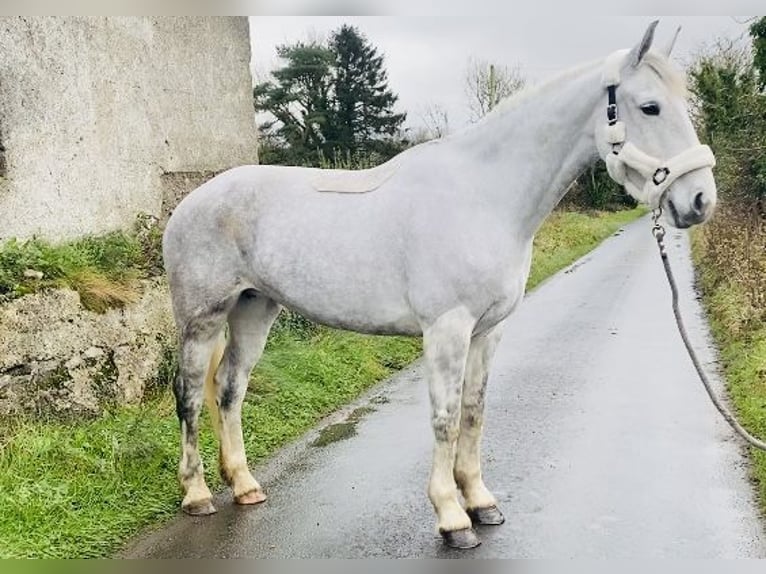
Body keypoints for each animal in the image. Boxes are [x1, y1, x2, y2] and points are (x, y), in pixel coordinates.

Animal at [164, 22, 720, 552]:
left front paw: (481, 501)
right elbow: (445, 418)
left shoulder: (488, 331)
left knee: (229, 388)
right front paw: (453, 518)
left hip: (255, 308)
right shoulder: (447, 329)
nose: (699, 201)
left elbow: (473, 413)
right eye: (650, 106)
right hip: (202, 319)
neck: (485, 196)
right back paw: (196, 494)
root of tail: (190, 202)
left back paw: (244, 485)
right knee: (190, 394)